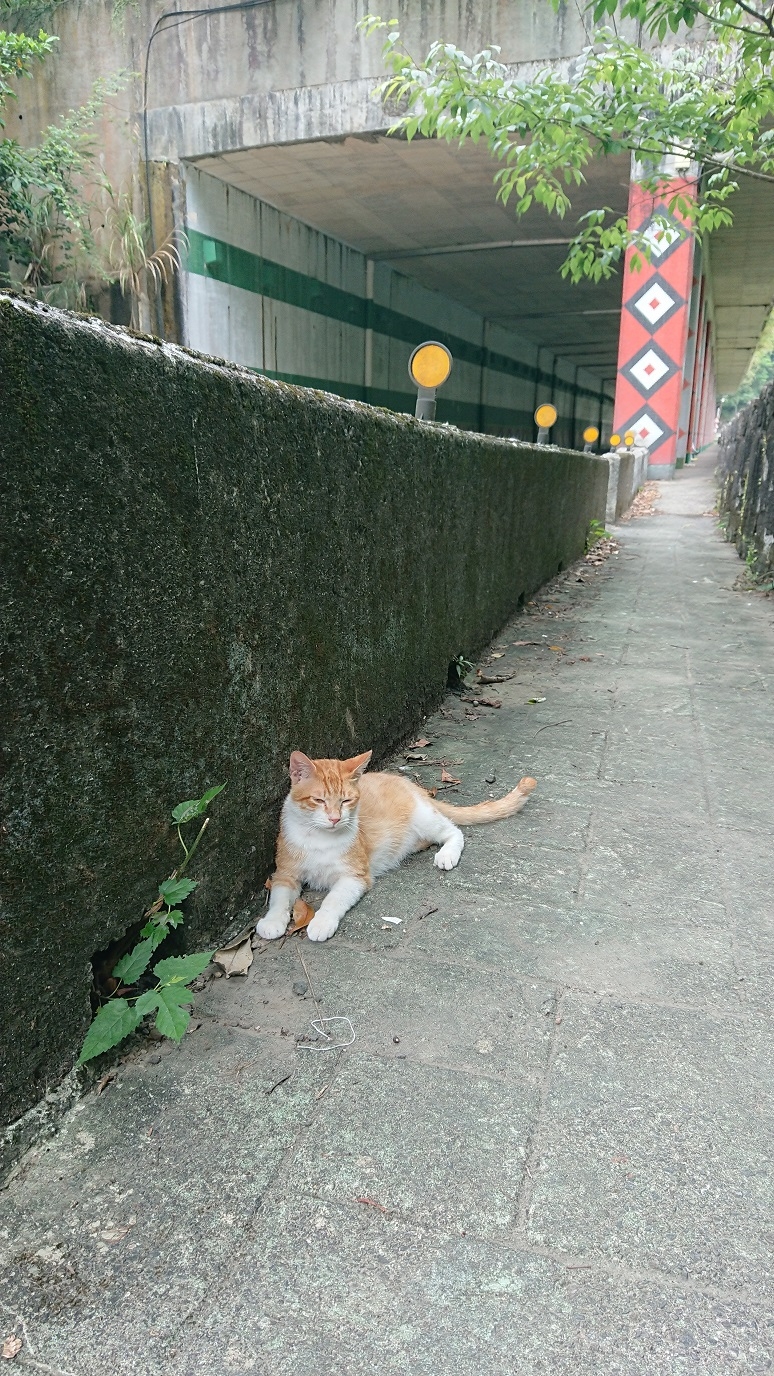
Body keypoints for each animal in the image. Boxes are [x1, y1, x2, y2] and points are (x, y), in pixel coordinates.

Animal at [256, 754, 534, 946]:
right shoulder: (284, 874)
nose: (335, 819)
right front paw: (272, 921)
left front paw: (321, 922)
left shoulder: (355, 877)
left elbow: (333, 899)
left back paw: (447, 854)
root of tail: (412, 785)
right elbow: (279, 899)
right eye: (319, 800)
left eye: (346, 801)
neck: (318, 838)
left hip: (424, 818)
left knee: (454, 831)